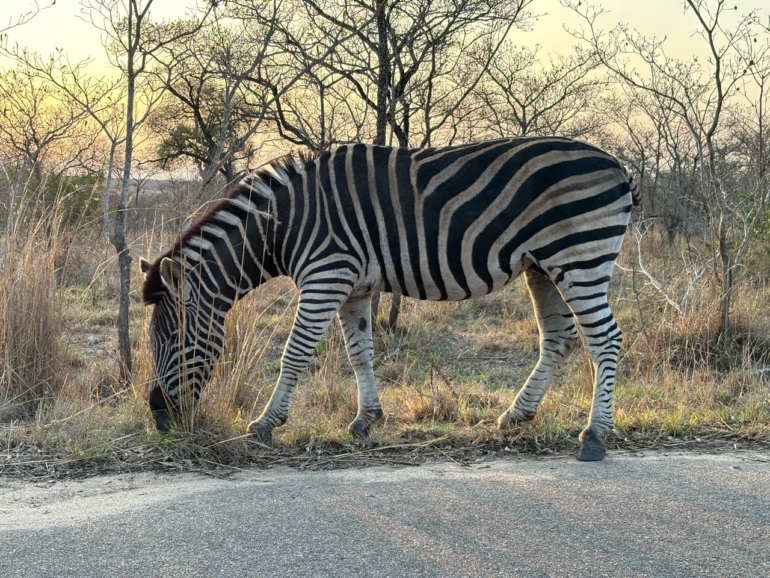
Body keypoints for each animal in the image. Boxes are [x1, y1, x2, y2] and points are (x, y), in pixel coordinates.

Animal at [141, 135, 640, 460]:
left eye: (173, 339)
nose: (158, 416)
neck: (283, 225)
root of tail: (616, 163)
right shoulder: (353, 285)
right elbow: (359, 352)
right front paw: (367, 419)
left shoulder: (326, 275)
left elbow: (294, 354)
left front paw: (266, 424)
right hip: (542, 265)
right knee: (558, 338)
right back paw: (518, 415)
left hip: (579, 255)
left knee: (606, 339)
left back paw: (595, 435)